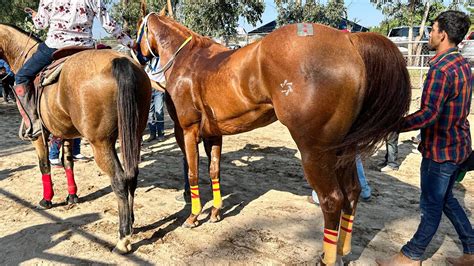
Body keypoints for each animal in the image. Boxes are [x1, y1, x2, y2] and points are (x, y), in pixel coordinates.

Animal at [0, 23, 151, 254]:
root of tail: (121, 61)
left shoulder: (39, 136)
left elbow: (45, 165)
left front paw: (47, 199)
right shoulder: (66, 134)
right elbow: (68, 162)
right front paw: (72, 196)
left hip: (101, 143)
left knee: (119, 179)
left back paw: (123, 238)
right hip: (134, 134)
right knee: (131, 175)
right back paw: (131, 223)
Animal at [137, 9, 412, 264]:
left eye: (139, 27)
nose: (137, 53)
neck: (187, 60)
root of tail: (349, 40)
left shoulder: (187, 131)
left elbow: (193, 173)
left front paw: (193, 216)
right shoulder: (214, 134)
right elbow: (214, 171)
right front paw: (215, 212)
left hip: (315, 153)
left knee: (333, 200)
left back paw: (328, 258)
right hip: (344, 151)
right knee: (352, 193)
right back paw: (343, 251)